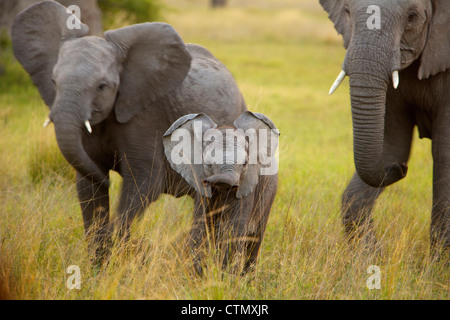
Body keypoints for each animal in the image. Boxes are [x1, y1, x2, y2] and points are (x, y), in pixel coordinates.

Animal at [11, 1, 246, 262]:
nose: (108, 177)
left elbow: (144, 184)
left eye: (102, 86)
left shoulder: (146, 118)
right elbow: (88, 188)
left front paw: (122, 252)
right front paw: (98, 264)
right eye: (53, 82)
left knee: (203, 201)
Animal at [163, 111, 280, 274]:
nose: (206, 181)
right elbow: (200, 226)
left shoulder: (247, 186)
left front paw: (225, 276)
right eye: (208, 163)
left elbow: (234, 231)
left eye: (244, 163)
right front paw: (201, 273)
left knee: (255, 239)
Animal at [320, 0, 450, 255]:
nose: (402, 169)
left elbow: (444, 155)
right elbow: (393, 145)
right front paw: (370, 259)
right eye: (347, 12)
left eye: (412, 17)